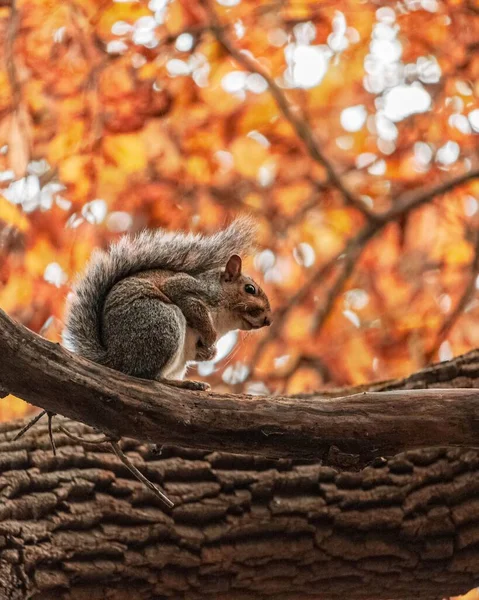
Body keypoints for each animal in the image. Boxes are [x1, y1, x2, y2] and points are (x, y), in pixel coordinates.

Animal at [63, 218, 272, 392]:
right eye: (250, 289)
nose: (268, 320)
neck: (224, 322)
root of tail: (115, 358)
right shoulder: (186, 289)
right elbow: (189, 304)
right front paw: (210, 337)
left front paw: (211, 352)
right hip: (163, 321)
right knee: (149, 376)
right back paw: (184, 384)